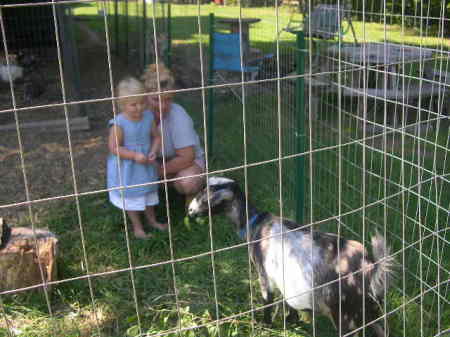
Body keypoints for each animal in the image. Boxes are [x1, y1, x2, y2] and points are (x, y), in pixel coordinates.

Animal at [186, 177, 394, 334]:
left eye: (207, 193)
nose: (190, 210)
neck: (256, 224)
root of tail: (371, 267)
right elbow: (289, 305)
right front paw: (292, 320)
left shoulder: (265, 275)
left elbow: (267, 301)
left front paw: (266, 325)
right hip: (373, 311)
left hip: (346, 316)